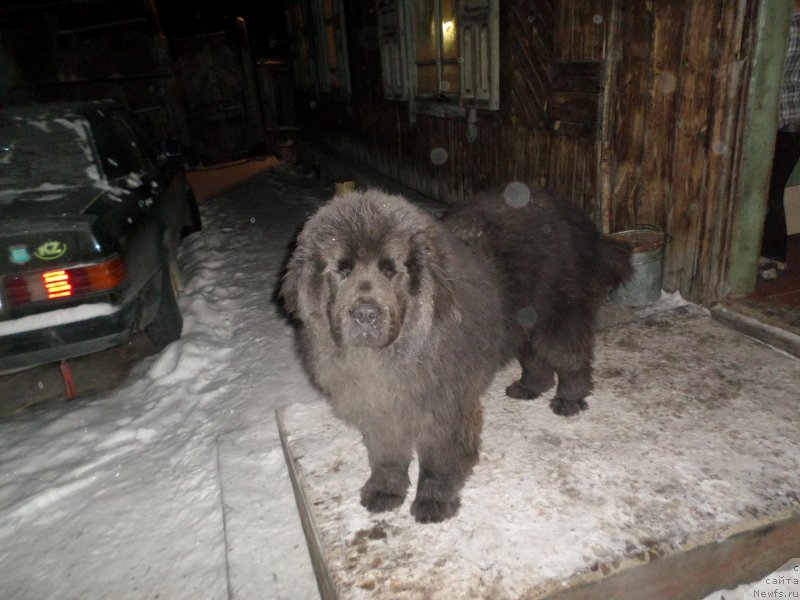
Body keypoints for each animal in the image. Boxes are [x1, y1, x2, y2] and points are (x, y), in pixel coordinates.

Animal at [282, 185, 632, 524]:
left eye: (391, 271)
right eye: (341, 271)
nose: (365, 314)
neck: (393, 355)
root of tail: (571, 212)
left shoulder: (445, 407)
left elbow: (438, 459)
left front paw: (433, 501)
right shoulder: (381, 407)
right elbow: (386, 456)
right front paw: (385, 492)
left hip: (556, 317)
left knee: (571, 356)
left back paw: (570, 399)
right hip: (522, 318)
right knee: (534, 357)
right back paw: (529, 387)